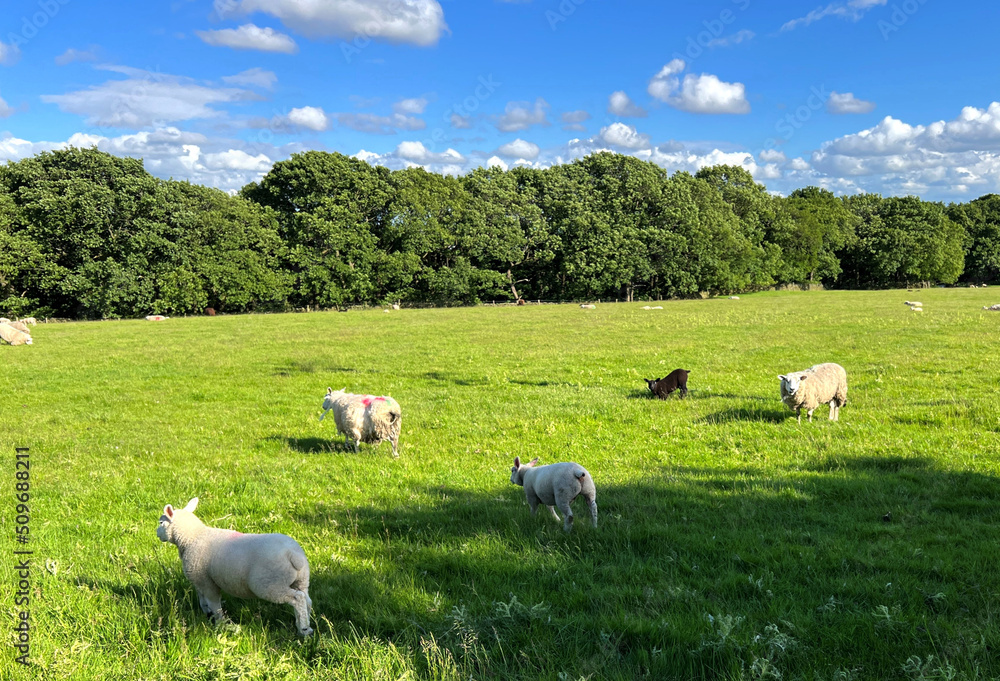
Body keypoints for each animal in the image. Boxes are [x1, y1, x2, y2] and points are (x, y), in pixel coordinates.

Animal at [156, 498, 313, 636]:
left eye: (161, 522)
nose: (157, 534)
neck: (192, 537)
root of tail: (293, 554)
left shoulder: (207, 582)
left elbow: (214, 604)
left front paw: (220, 624)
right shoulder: (199, 580)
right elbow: (203, 601)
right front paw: (207, 614)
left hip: (269, 583)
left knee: (297, 598)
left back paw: (304, 629)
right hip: (301, 579)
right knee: (306, 599)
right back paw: (306, 626)